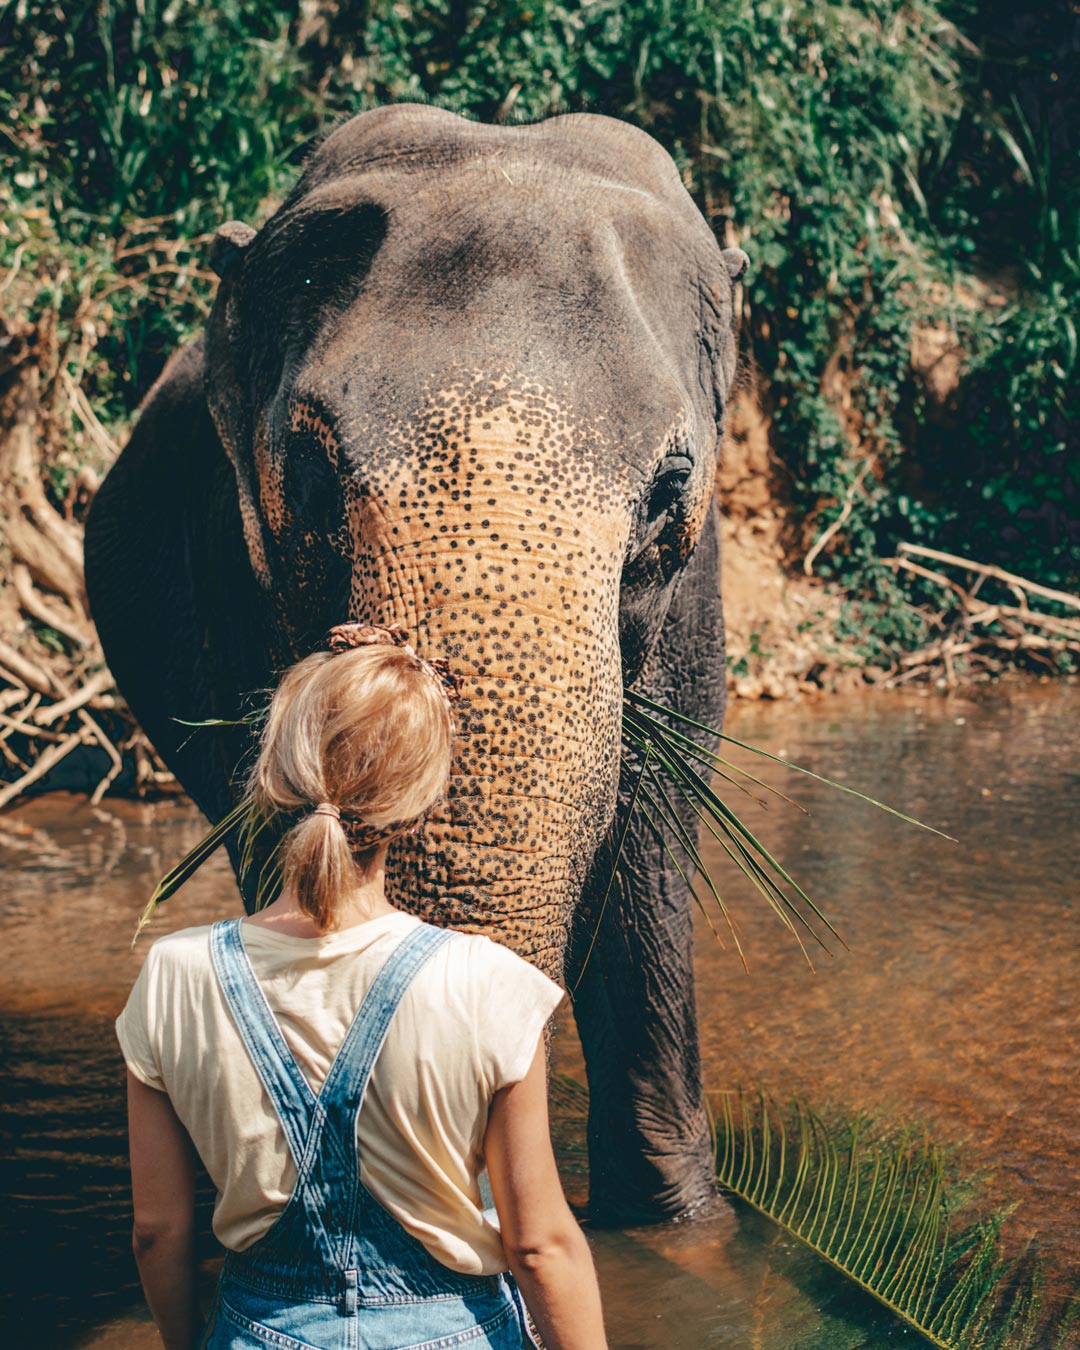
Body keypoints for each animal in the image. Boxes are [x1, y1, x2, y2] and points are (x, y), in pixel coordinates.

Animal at [84, 103, 748, 1226]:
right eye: (309, 477)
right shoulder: (225, 582)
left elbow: (654, 844)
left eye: (668, 493)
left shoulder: (693, 616)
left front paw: (681, 1227)